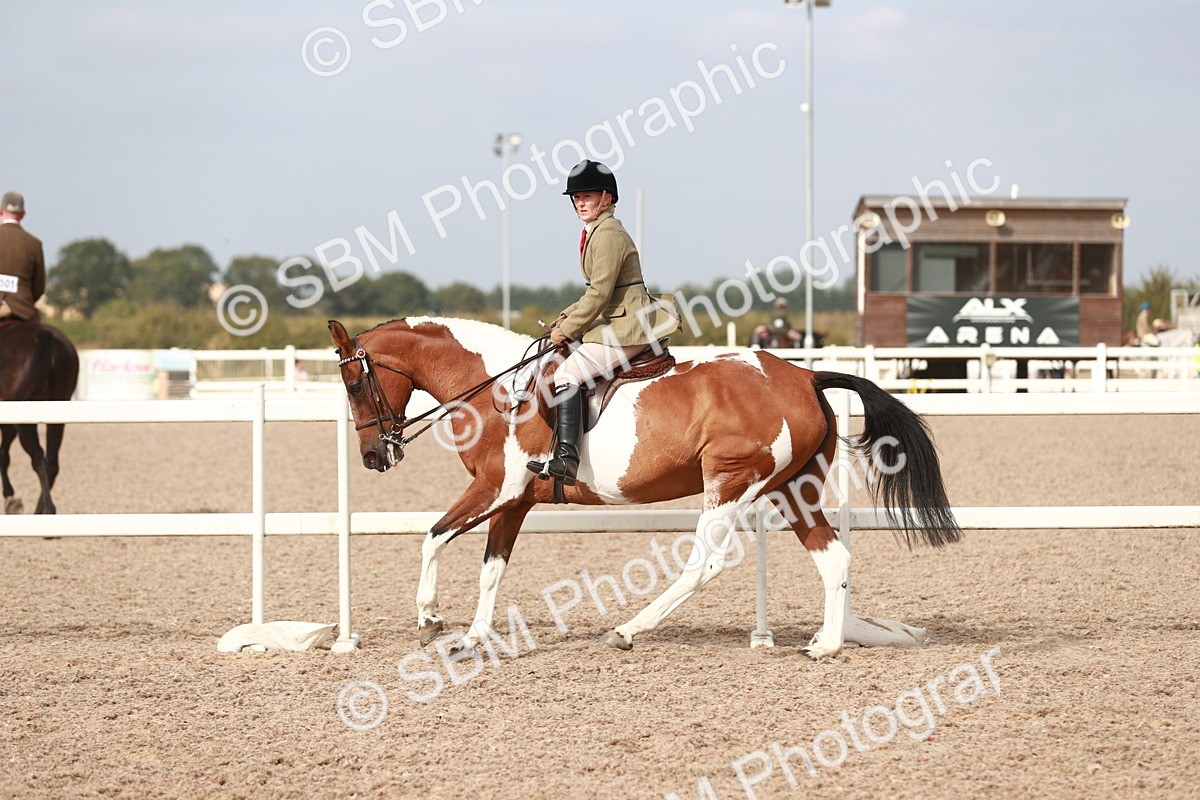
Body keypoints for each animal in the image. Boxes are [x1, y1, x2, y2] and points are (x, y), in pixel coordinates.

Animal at [0, 321, 80, 514]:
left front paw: (11, 499)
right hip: (57, 411)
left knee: (37, 457)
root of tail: (43, 334)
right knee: (51, 462)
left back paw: (47, 508)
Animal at [328, 317, 961, 659]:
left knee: (706, 563)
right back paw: (825, 645)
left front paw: (430, 618)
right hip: (791, 490)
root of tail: (804, 374)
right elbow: (491, 568)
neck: (496, 390)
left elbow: (432, 537)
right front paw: (473, 637)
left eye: (355, 383)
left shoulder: (495, 489)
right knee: (833, 558)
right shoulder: (514, 501)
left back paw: (629, 630)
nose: (374, 456)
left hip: (731, 481)